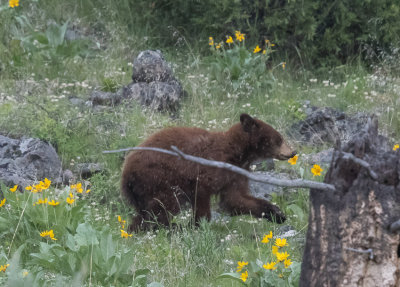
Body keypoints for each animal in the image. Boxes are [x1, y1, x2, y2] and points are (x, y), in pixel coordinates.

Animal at [122, 113, 296, 232]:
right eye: (279, 139)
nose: (293, 152)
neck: (238, 152)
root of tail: (125, 175)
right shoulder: (209, 168)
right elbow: (203, 194)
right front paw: (198, 224)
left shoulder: (236, 173)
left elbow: (235, 199)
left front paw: (277, 213)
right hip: (158, 177)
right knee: (163, 207)